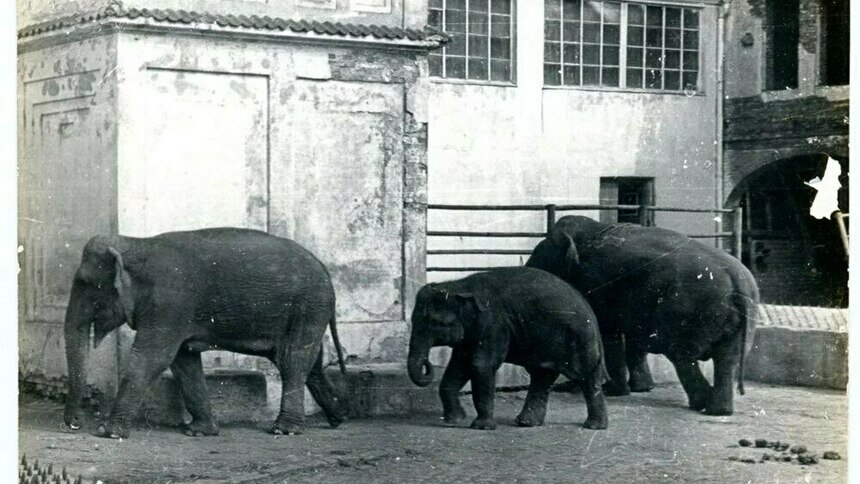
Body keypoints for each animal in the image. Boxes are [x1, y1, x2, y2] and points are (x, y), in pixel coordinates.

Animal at [63, 228, 350, 438]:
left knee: (292, 361)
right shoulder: (173, 312)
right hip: (309, 311)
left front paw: (109, 433)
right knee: (311, 364)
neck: (135, 244)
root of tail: (324, 267)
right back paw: (339, 418)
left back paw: (284, 430)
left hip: (308, 306)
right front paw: (199, 432)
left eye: (86, 285)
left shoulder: (168, 303)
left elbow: (152, 358)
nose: (75, 424)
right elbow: (183, 361)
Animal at [406, 266, 608, 430]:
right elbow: (458, 366)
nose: (427, 364)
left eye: (435, 323)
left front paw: (481, 427)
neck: (459, 286)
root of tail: (591, 312)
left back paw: (594, 426)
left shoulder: (492, 324)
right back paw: (526, 423)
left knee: (587, 376)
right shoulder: (471, 333)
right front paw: (455, 420)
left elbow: (480, 365)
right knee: (543, 375)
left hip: (580, 337)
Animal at [524, 216, 760, 416]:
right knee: (727, 360)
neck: (594, 230)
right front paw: (643, 388)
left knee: (682, 356)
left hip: (689, 314)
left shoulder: (598, 284)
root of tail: (737, 281)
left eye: (538, 258)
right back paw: (718, 410)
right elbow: (633, 339)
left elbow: (609, 334)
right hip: (738, 324)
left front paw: (614, 390)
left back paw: (701, 404)